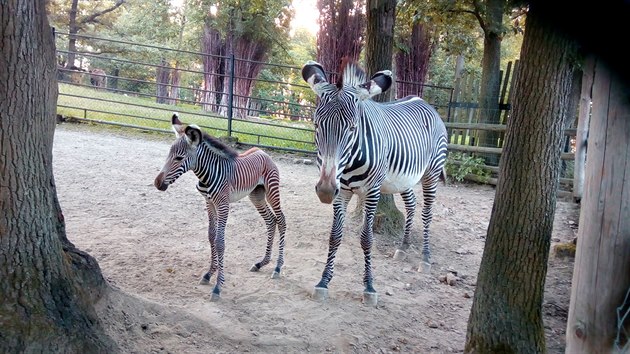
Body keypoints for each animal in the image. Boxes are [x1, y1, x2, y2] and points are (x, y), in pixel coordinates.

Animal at [154, 114, 288, 302]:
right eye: (168, 155)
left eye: (179, 158)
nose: (157, 183)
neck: (207, 174)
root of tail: (262, 152)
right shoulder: (209, 202)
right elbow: (211, 236)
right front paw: (209, 273)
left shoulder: (223, 204)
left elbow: (220, 242)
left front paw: (218, 286)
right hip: (256, 195)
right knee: (270, 220)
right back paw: (261, 263)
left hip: (271, 189)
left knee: (281, 220)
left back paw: (277, 267)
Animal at [302, 59, 446, 306]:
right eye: (316, 125)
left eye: (352, 128)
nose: (325, 191)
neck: (349, 162)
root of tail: (422, 100)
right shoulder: (342, 192)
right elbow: (335, 236)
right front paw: (323, 281)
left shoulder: (372, 191)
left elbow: (367, 239)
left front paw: (369, 286)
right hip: (403, 180)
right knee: (411, 205)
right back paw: (403, 247)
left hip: (432, 172)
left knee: (427, 212)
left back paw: (425, 259)